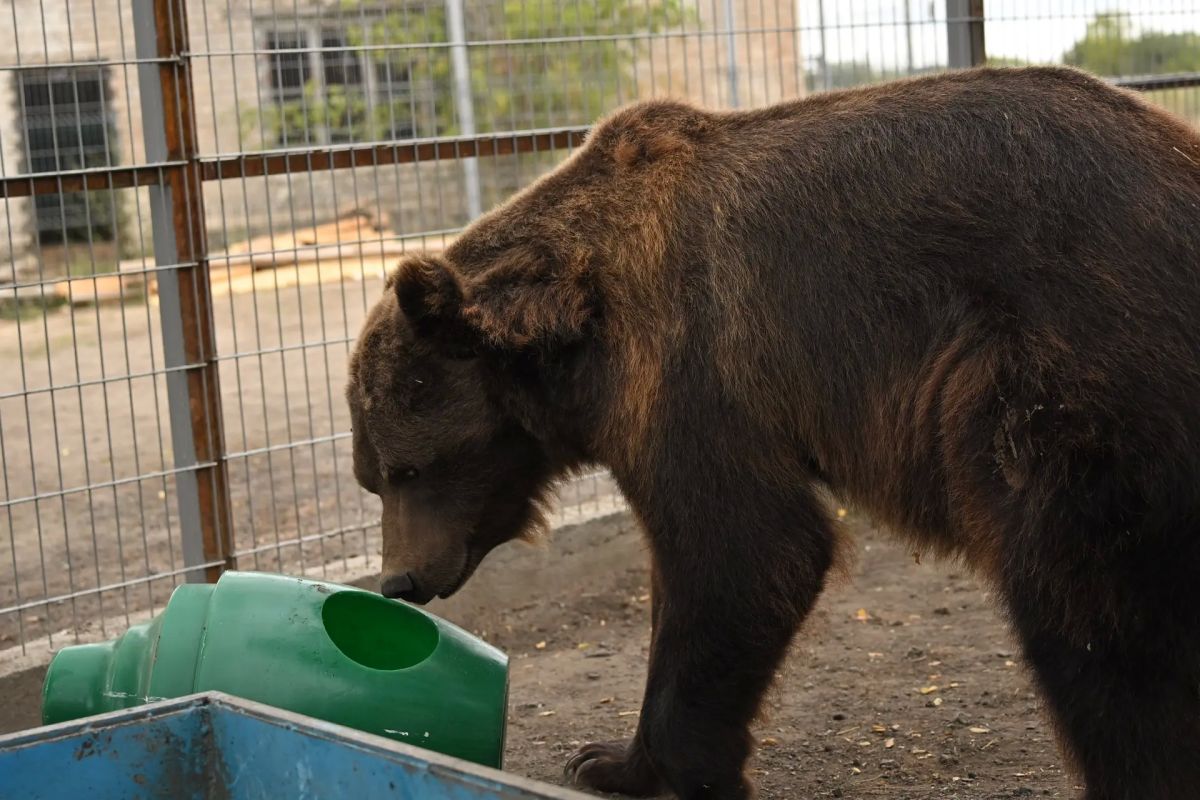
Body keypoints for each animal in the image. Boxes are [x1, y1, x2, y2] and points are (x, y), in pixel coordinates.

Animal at [345, 65, 1200, 800]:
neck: (577, 336)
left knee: (1091, 617)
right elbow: (683, 579)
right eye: (372, 478)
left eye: (408, 469)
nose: (399, 581)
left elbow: (749, 553)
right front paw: (609, 758)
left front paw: (698, 770)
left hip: (1069, 382)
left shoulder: (694, 372)